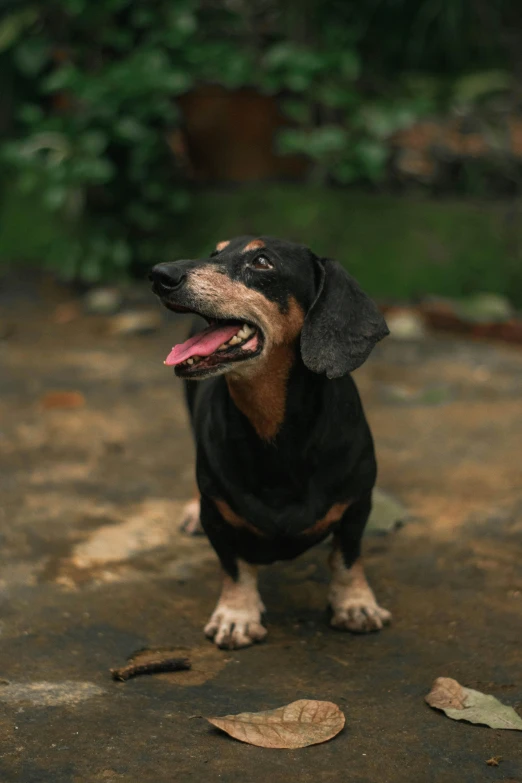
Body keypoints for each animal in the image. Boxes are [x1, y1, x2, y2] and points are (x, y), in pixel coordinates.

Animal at [148, 236, 388, 652]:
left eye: (262, 262)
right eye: (214, 254)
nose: (160, 274)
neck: (275, 432)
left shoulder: (357, 503)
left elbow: (346, 558)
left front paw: (356, 605)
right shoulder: (218, 516)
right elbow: (235, 567)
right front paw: (236, 615)